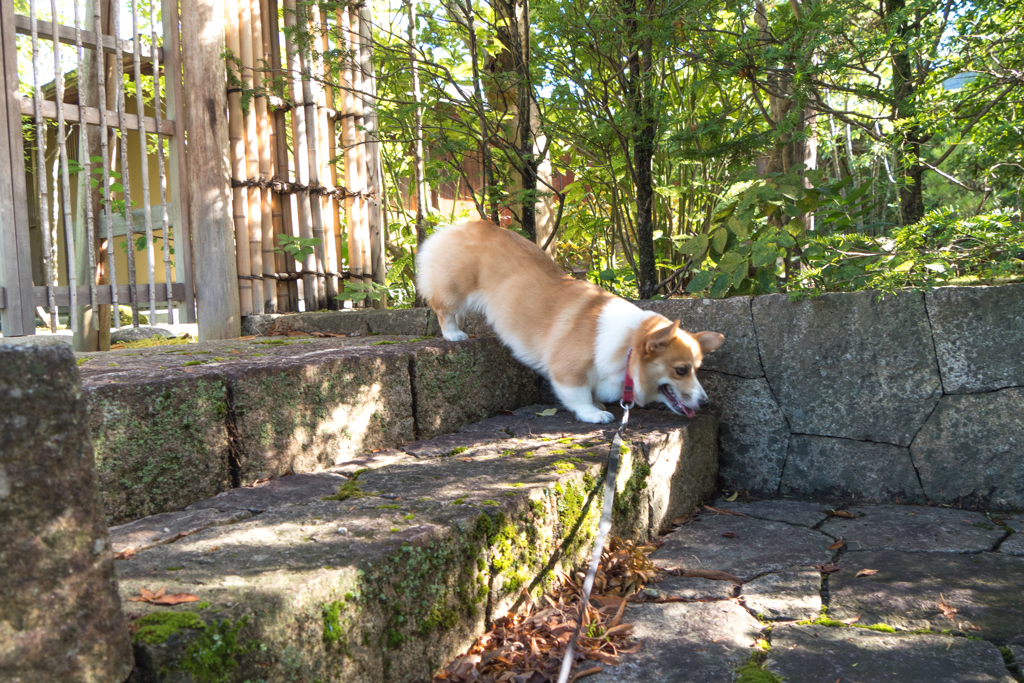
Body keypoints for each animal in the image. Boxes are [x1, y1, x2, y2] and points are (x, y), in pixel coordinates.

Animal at [411, 220, 724, 421]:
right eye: (681, 370)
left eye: (697, 369)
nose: (706, 402)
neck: (628, 347)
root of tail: (461, 224)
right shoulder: (568, 372)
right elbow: (580, 396)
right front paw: (595, 413)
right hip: (455, 289)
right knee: (444, 310)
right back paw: (453, 334)